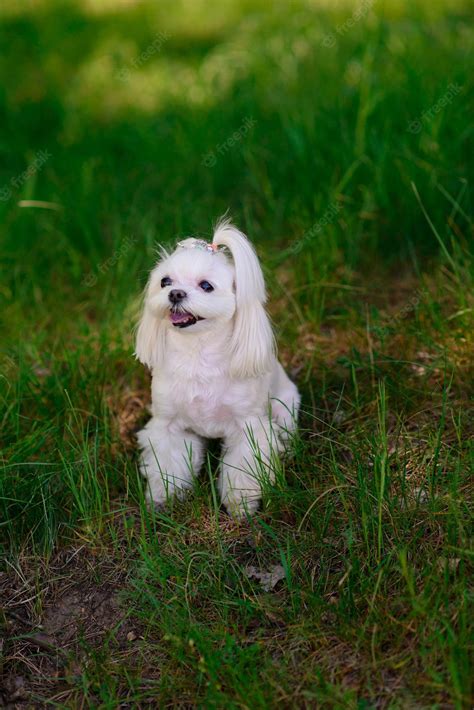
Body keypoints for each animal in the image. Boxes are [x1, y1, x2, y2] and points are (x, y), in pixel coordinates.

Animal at [135, 220, 300, 520]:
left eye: (206, 286)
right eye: (165, 281)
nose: (175, 293)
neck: (198, 354)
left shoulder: (249, 428)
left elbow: (243, 470)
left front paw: (240, 505)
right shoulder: (169, 426)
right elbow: (168, 465)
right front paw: (164, 498)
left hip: (285, 407)